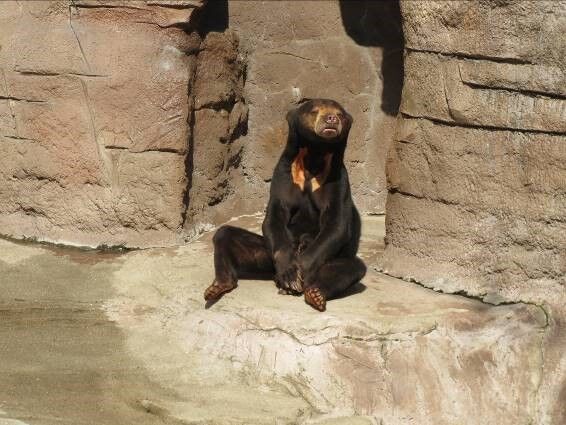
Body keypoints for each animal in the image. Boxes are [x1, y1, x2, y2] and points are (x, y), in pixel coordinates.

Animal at [204, 99, 368, 312]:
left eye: (340, 113)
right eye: (315, 111)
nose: (331, 119)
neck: (315, 155)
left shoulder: (337, 179)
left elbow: (337, 224)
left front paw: (297, 273)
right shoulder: (285, 174)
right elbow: (275, 215)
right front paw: (289, 273)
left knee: (352, 266)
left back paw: (315, 293)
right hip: (265, 255)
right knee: (225, 234)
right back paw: (218, 286)